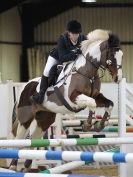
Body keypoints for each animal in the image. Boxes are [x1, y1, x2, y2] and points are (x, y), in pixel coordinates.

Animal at [9, 29, 123, 171]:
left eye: (122, 55)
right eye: (112, 55)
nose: (118, 78)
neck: (87, 72)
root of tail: (24, 86)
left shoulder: (97, 96)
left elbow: (109, 104)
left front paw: (99, 125)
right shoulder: (72, 97)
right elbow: (91, 103)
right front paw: (87, 125)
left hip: (44, 119)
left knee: (34, 139)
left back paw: (26, 167)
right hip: (25, 119)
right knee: (20, 140)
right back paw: (13, 166)